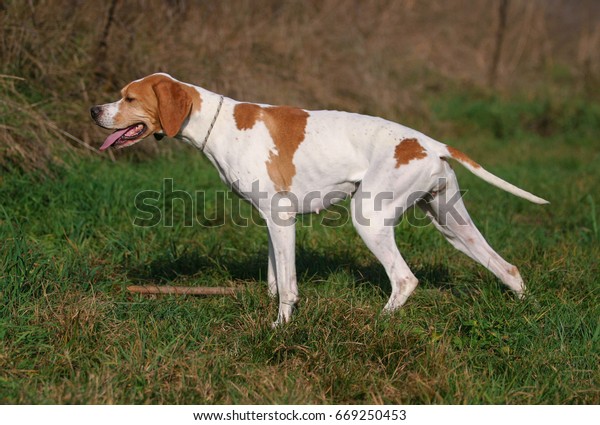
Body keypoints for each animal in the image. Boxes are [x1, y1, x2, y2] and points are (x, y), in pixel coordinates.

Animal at [90, 73, 548, 324]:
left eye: (129, 98)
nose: (94, 110)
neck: (219, 125)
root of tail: (431, 143)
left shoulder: (281, 219)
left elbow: (288, 288)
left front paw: (280, 330)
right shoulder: (273, 222)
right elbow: (275, 280)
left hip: (369, 219)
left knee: (405, 279)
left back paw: (377, 323)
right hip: (453, 227)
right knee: (508, 269)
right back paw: (526, 310)